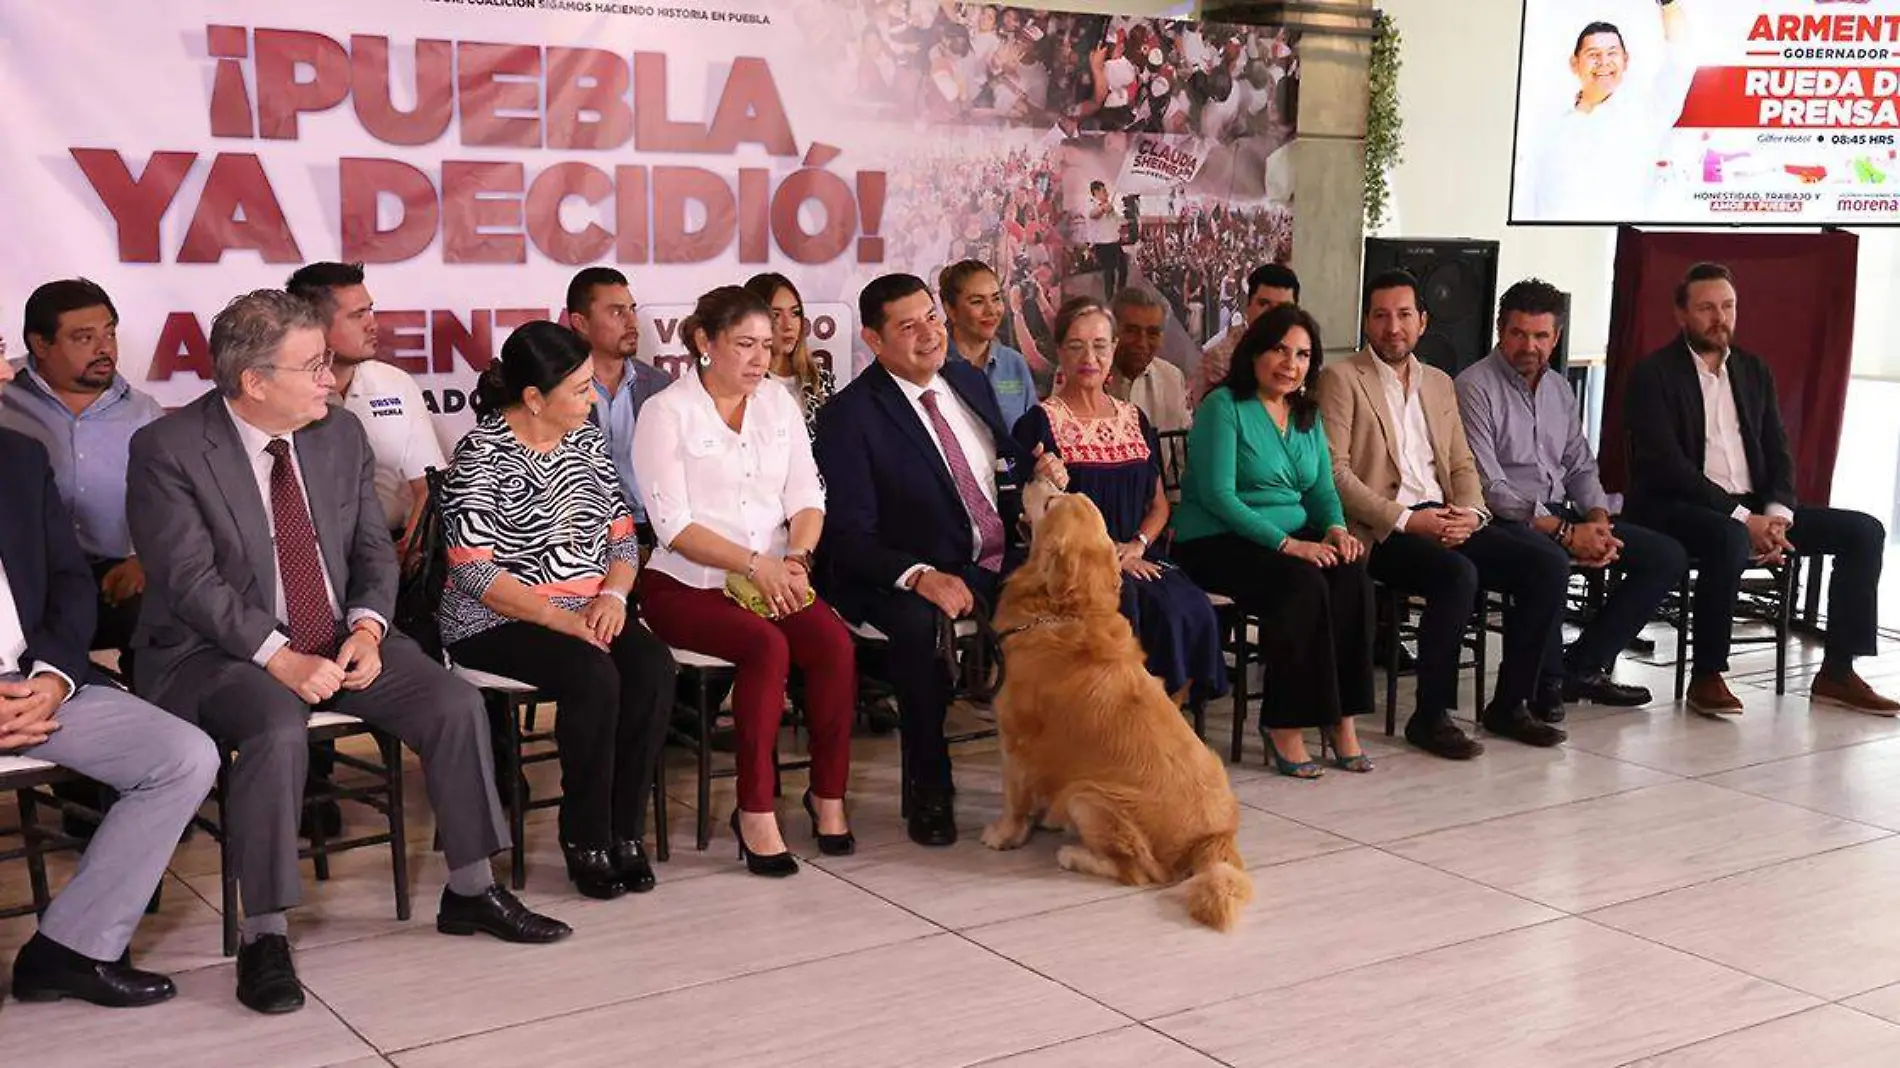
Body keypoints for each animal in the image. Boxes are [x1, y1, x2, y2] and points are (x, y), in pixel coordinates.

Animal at [988, 486, 1254, 927]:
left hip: (1088, 796)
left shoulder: (1016, 739)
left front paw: (1004, 835)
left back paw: (1074, 854)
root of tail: (1213, 838)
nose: (1031, 479)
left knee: (1140, 872)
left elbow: (1014, 797)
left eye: (1051, 502)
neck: (1068, 611)